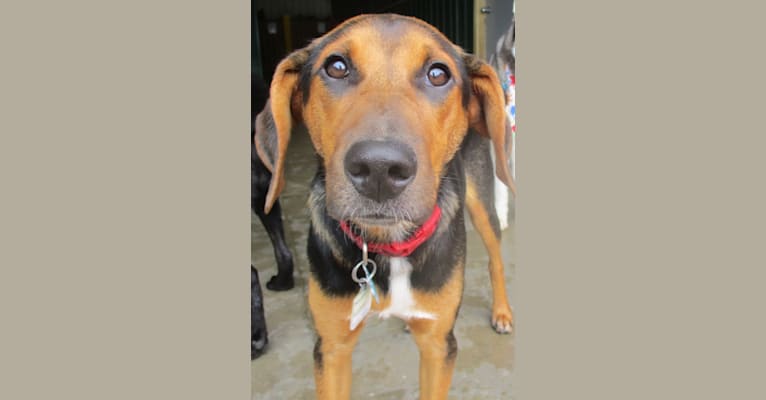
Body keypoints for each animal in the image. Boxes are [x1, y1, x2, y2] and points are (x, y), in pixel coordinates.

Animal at [256, 13, 516, 400]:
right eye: (336, 67)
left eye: (438, 74)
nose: (379, 169)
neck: (386, 246)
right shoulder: (331, 347)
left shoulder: (439, 346)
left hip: (482, 204)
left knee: (495, 259)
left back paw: (501, 312)